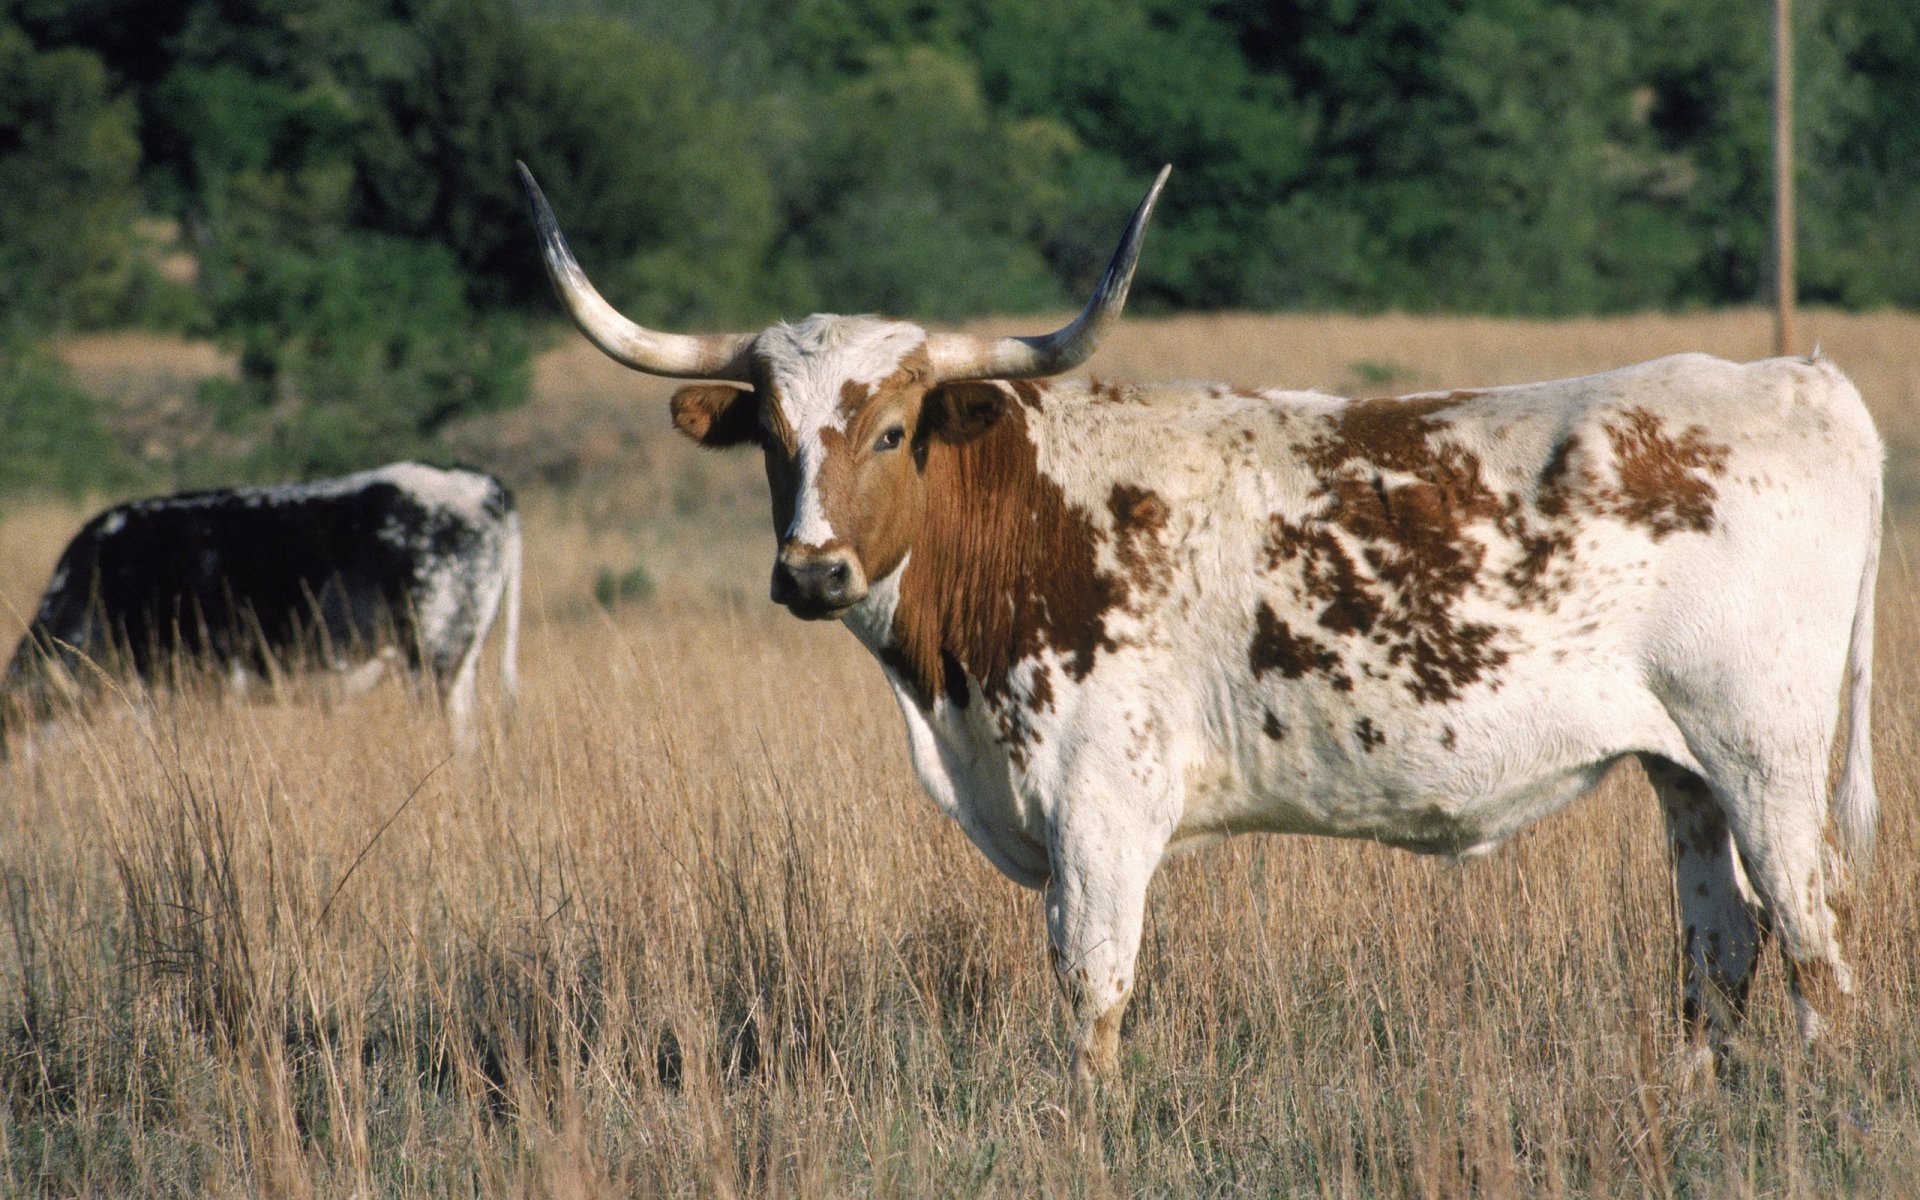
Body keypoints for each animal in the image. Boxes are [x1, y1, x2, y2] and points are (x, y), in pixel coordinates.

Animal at [519, 161, 1881, 1085]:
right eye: (772, 437)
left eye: (894, 430)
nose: (809, 571)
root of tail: (1799, 379)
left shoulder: (1100, 803)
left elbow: (1092, 987)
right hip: (1681, 767)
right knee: (1720, 945)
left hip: (1764, 753)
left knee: (1814, 936)